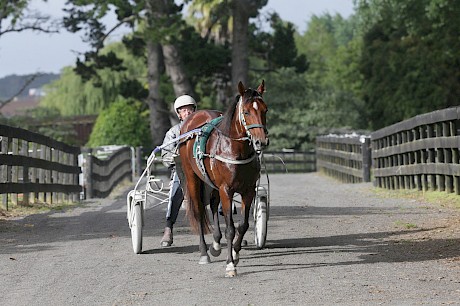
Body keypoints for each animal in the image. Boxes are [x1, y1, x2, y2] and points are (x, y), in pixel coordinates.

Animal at [178, 80, 268, 276]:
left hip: (212, 183)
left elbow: (242, 226)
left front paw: (235, 253)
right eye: (246, 112)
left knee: (213, 205)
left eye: (265, 110)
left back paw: (216, 244)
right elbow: (231, 229)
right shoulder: (226, 189)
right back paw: (204, 253)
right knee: (199, 211)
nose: (261, 142)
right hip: (192, 177)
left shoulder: (248, 190)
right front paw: (230, 265)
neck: (235, 149)